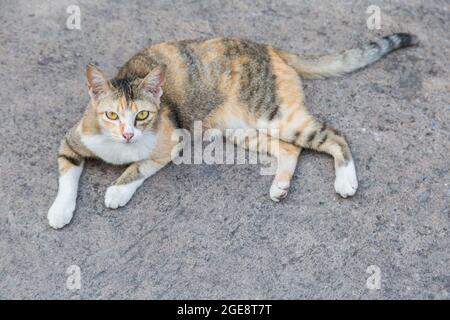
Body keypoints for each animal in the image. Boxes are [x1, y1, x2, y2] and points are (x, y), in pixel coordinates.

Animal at [46, 32, 418, 229]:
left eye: (142, 115)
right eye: (111, 114)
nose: (127, 134)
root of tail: (269, 48)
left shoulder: (171, 143)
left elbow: (139, 167)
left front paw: (117, 191)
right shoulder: (72, 141)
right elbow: (67, 179)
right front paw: (60, 211)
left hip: (276, 116)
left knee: (335, 136)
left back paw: (345, 181)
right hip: (239, 130)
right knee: (290, 149)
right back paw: (280, 186)